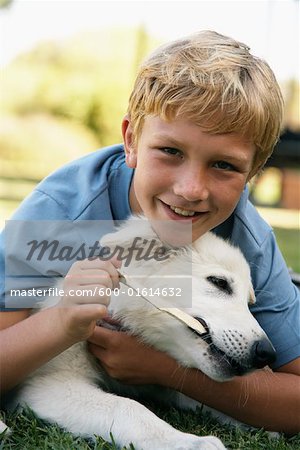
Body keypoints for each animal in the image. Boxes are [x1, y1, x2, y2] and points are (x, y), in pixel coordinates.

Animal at [5, 216, 276, 448]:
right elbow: (127, 407)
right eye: (219, 283)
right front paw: (191, 442)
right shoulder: (49, 383)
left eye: (249, 303)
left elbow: (207, 400)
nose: (266, 354)